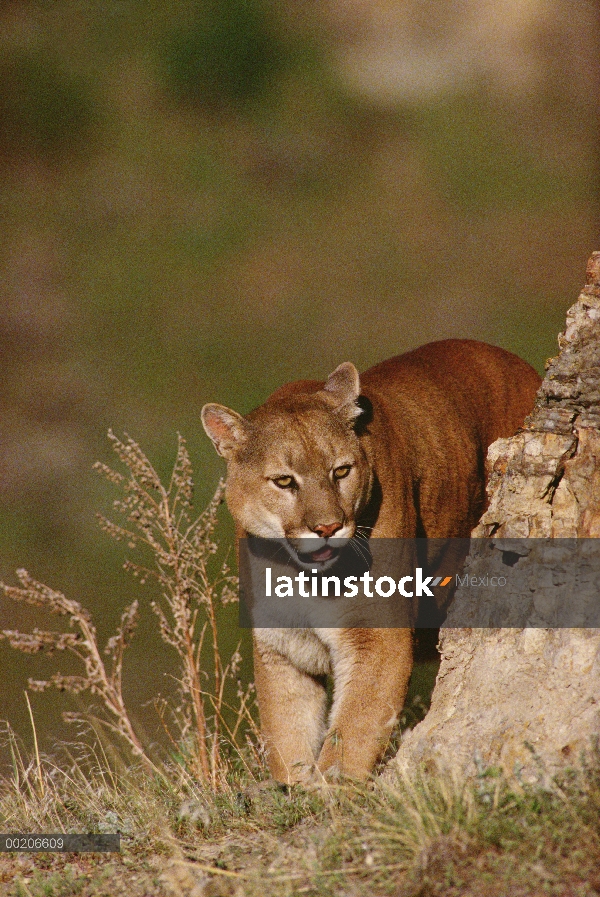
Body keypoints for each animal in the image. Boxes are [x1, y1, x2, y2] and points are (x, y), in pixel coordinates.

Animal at [200, 340, 540, 780]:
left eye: (342, 471)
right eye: (284, 481)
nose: (327, 527)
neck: (302, 576)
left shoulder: (377, 637)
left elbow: (351, 735)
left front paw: (326, 790)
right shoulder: (283, 645)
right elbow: (287, 737)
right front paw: (293, 786)